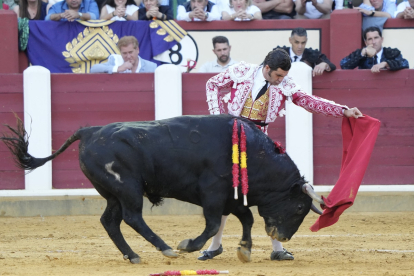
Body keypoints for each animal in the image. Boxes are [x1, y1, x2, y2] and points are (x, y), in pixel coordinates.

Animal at [0, 114, 320, 264]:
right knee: (132, 218)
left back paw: (132, 255)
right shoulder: (213, 194)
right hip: (127, 188)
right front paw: (188, 245)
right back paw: (166, 248)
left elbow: (247, 218)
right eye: (300, 207)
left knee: (110, 221)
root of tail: (90, 131)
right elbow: (213, 223)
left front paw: (245, 249)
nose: (283, 237)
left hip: (113, 193)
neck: (254, 154)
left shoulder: (231, 198)